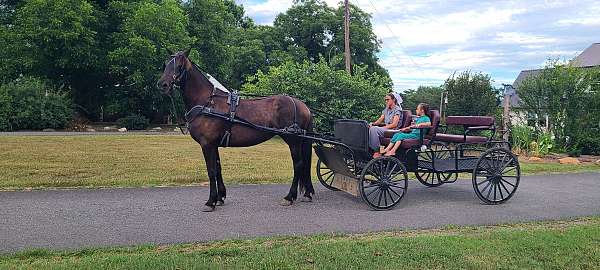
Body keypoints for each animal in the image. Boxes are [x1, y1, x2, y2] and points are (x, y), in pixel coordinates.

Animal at [157, 49, 314, 212]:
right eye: (165, 65)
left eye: (179, 66)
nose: (163, 85)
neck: (208, 103)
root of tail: (302, 105)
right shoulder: (214, 144)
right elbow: (218, 169)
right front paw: (220, 197)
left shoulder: (207, 144)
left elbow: (211, 171)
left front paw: (210, 202)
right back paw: (306, 194)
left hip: (293, 141)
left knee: (298, 165)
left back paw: (289, 197)